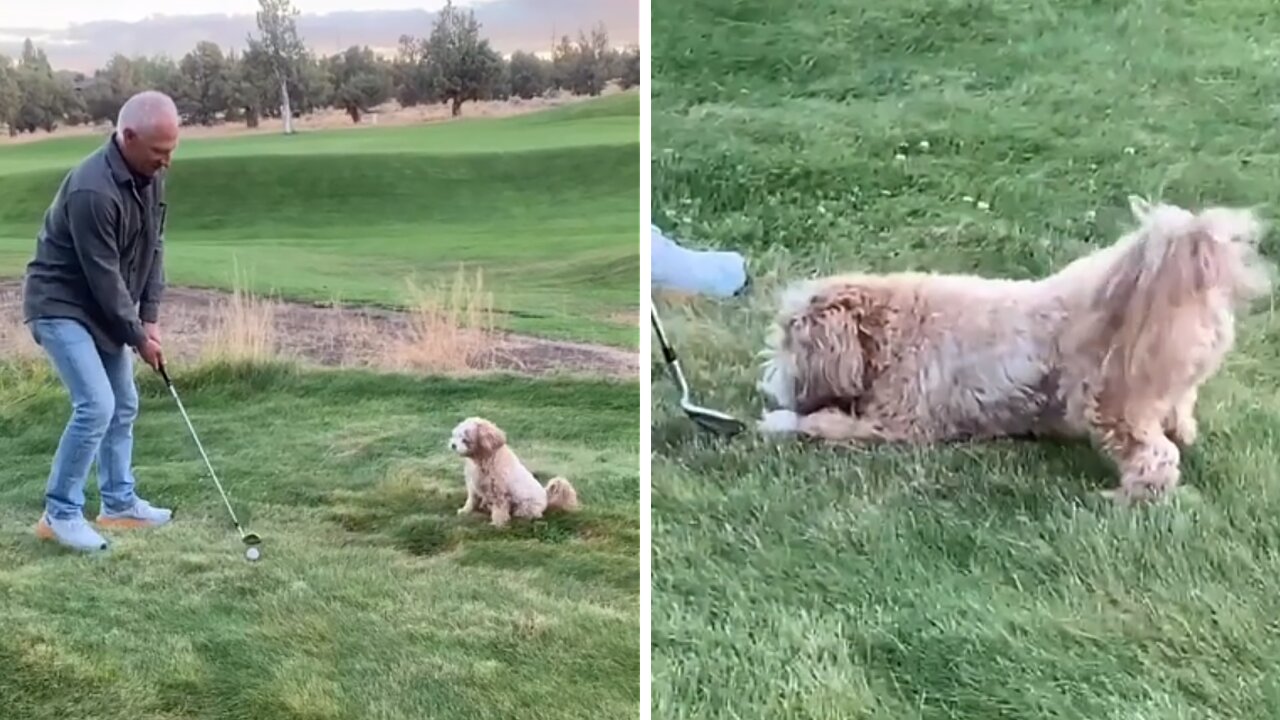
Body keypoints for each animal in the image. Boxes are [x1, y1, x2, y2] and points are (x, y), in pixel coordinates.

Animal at [445, 412, 576, 525]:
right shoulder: (473, 485)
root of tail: (546, 495)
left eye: (465, 439)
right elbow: (471, 501)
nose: (453, 445)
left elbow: (499, 509)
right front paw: (465, 511)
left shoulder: (499, 492)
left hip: (526, 507)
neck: (482, 459)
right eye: (455, 435)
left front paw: (497, 523)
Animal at [757, 193, 1269, 502]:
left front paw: (779, 421)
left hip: (1109, 403)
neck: (892, 328)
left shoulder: (898, 424)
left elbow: (820, 423)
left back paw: (1126, 498)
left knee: (1156, 458)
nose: (768, 379)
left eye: (788, 340)